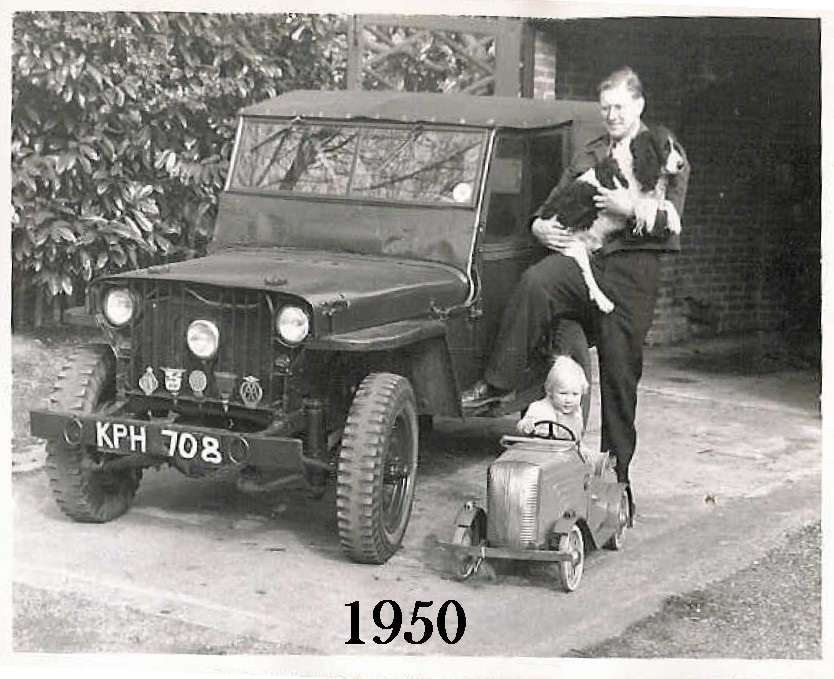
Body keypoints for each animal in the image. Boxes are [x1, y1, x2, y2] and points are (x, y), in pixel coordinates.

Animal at [536, 125, 684, 314]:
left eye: (676, 147)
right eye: (665, 148)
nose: (681, 164)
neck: (636, 165)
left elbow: (665, 203)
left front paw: (674, 221)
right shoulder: (626, 197)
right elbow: (646, 204)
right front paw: (649, 220)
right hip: (573, 245)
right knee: (588, 277)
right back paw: (604, 302)